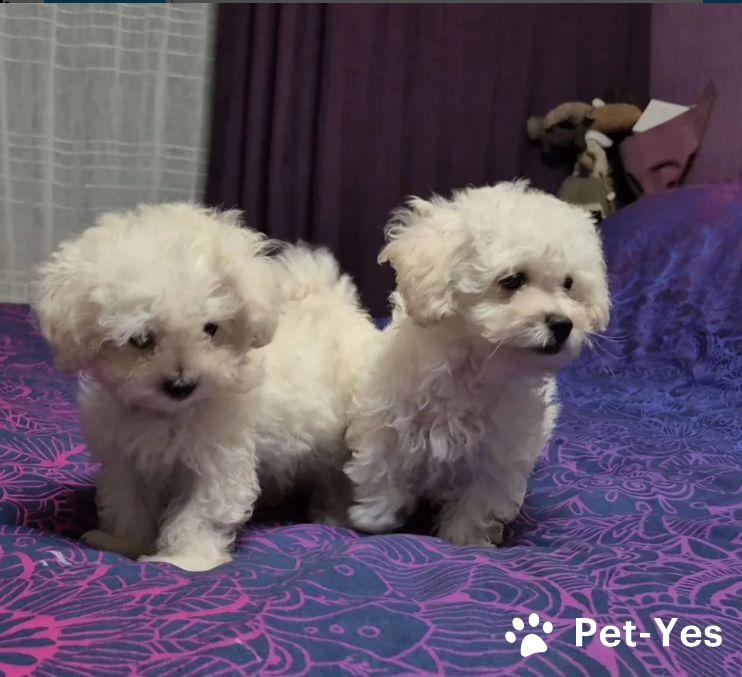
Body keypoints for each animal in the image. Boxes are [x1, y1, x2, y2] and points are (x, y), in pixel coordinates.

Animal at [35, 203, 378, 571]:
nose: (181, 383)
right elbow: (128, 503)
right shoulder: (125, 458)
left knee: (340, 475)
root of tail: (335, 301)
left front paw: (184, 559)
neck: (168, 415)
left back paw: (332, 514)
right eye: (141, 339)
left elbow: (197, 516)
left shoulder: (218, 462)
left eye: (211, 329)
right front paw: (123, 544)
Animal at [344, 181, 610, 546]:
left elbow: (478, 501)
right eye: (512, 280)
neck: (475, 366)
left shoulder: (498, 458)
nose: (562, 324)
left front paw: (463, 540)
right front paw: (373, 518)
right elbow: (382, 470)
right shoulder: (385, 421)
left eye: (569, 284)